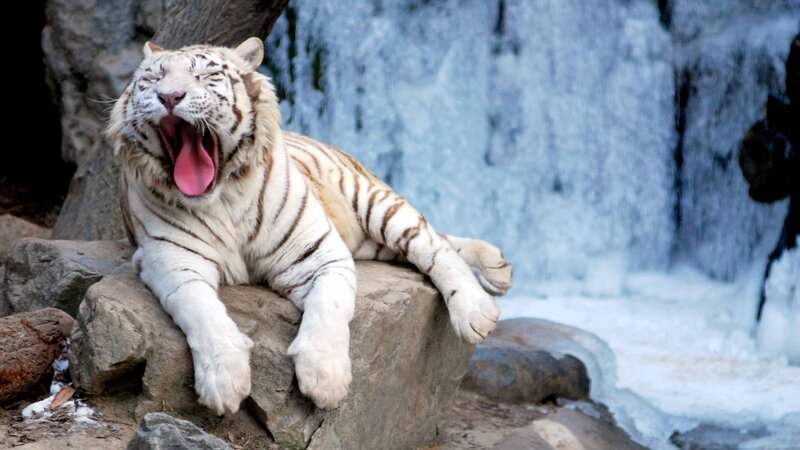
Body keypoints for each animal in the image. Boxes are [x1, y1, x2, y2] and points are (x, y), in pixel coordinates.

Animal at [107, 37, 512, 415]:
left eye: (205, 76)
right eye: (152, 79)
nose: (169, 96)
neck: (221, 198)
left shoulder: (319, 253)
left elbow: (329, 307)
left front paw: (325, 380)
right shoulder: (172, 261)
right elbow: (202, 312)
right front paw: (224, 382)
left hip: (372, 202)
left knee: (431, 242)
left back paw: (478, 307)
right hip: (368, 242)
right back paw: (498, 266)